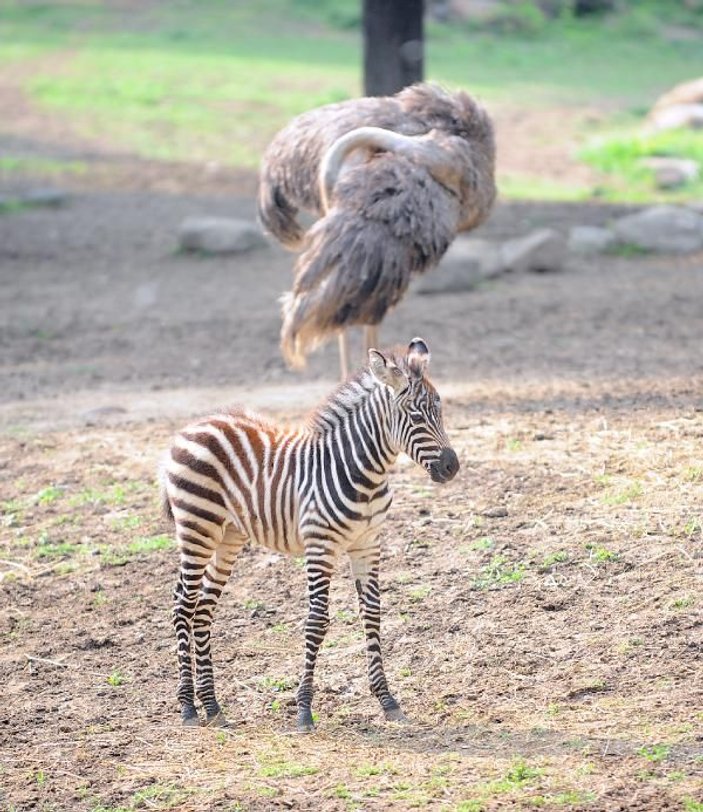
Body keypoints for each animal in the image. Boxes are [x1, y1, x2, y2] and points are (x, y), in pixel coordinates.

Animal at [162, 336, 460, 728]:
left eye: (440, 410)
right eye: (415, 415)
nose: (452, 466)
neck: (363, 473)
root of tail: (192, 427)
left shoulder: (367, 544)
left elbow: (373, 612)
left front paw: (387, 700)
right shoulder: (321, 545)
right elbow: (317, 621)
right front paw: (303, 709)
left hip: (229, 536)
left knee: (204, 608)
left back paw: (212, 706)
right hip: (197, 527)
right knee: (184, 604)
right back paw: (188, 707)